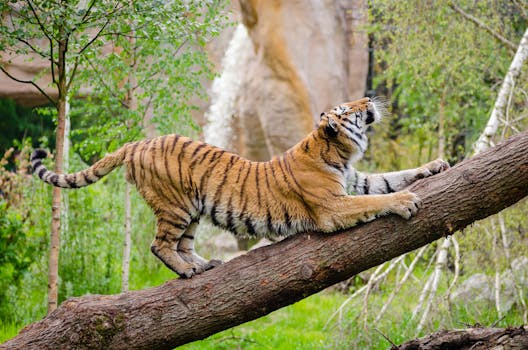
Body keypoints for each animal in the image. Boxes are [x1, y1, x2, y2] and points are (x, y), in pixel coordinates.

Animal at [29, 97, 450, 278]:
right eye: (349, 109)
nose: (369, 98)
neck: (339, 152)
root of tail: (137, 143)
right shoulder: (332, 206)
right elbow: (382, 196)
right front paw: (406, 201)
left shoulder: (356, 181)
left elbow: (391, 177)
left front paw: (436, 165)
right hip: (176, 206)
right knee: (159, 245)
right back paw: (187, 272)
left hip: (193, 210)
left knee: (183, 244)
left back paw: (203, 265)